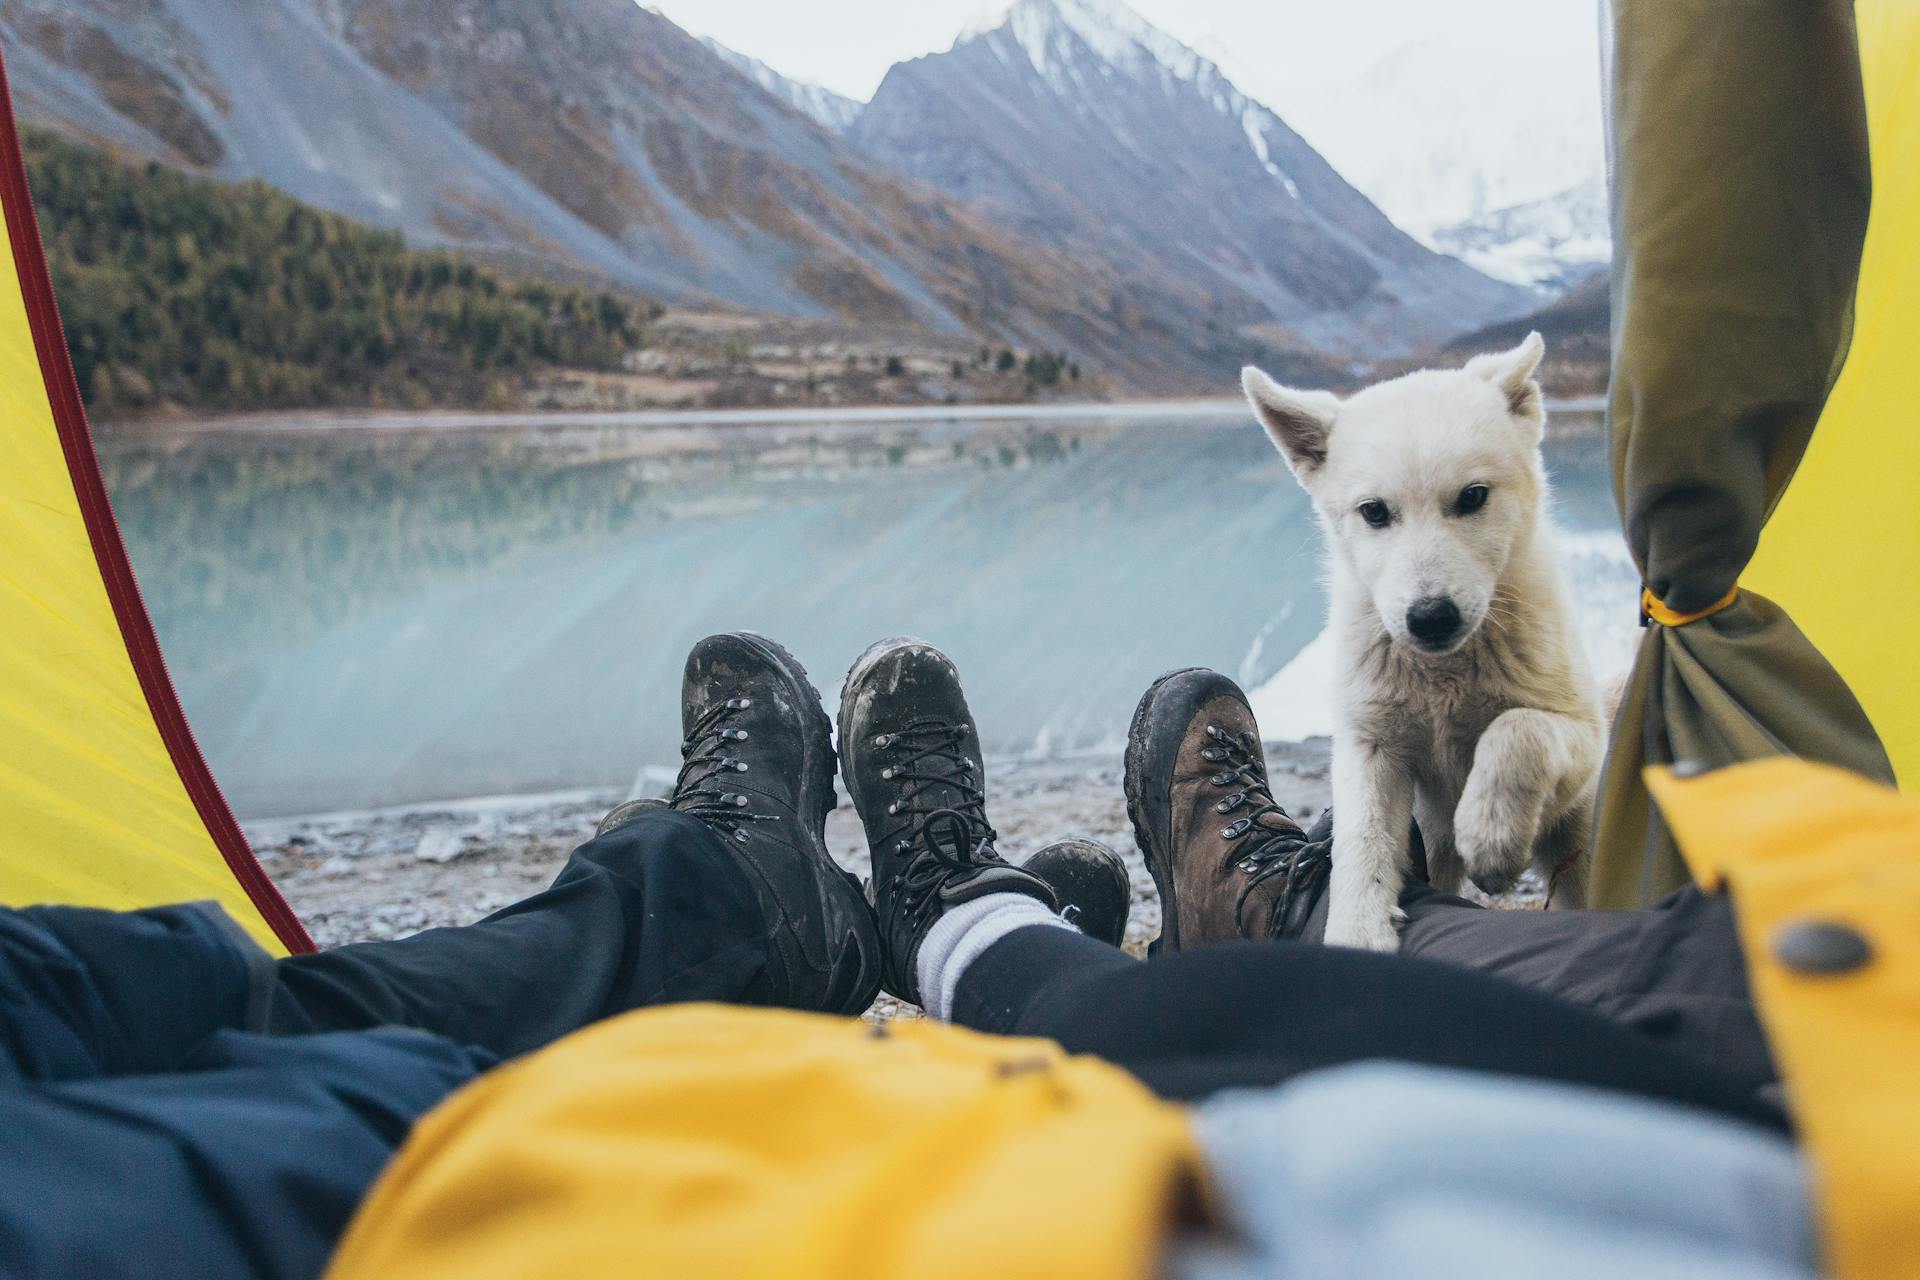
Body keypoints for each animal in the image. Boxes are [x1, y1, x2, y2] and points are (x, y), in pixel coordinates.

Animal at [1236, 333, 1597, 951]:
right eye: (1374, 511)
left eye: (1473, 497)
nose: (1430, 617)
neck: (1443, 675)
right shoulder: (1371, 741)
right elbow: (1362, 838)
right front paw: (1358, 932)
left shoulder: (1584, 732)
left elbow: (1516, 727)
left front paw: (1492, 836)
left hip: (1577, 842)